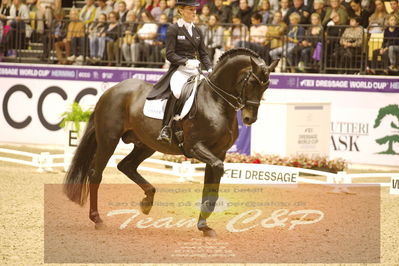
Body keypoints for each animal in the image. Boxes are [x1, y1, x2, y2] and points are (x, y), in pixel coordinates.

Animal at [65, 47, 278, 237]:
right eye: (251, 82)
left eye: (266, 86)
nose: (250, 118)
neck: (215, 101)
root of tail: (111, 91)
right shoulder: (196, 147)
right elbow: (215, 173)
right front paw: (204, 223)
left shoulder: (219, 153)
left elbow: (211, 186)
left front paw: (204, 226)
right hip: (109, 140)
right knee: (96, 174)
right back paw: (97, 219)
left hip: (146, 145)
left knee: (126, 166)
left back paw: (147, 202)